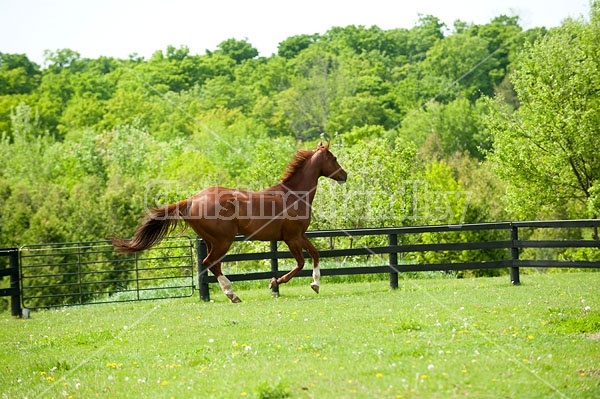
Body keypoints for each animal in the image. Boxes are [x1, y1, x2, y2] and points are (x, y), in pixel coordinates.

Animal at [112, 141, 346, 304]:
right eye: (334, 158)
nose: (345, 175)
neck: (294, 195)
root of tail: (191, 200)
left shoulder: (300, 236)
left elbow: (315, 254)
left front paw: (315, 284)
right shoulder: (291, 238)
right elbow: (300, 263)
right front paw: (274, 283)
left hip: (212, 240)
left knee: (212, 264)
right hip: (224, 240)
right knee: (210, 263)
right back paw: (232, 294)